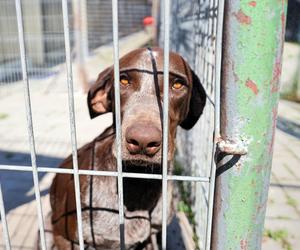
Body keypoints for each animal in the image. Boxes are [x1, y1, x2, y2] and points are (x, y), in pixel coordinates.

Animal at [48, 47, 206, 249]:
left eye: (178, 85)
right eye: (123, 81)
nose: (143, 141)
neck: (138, 183)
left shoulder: (150, 237)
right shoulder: (65, 237)